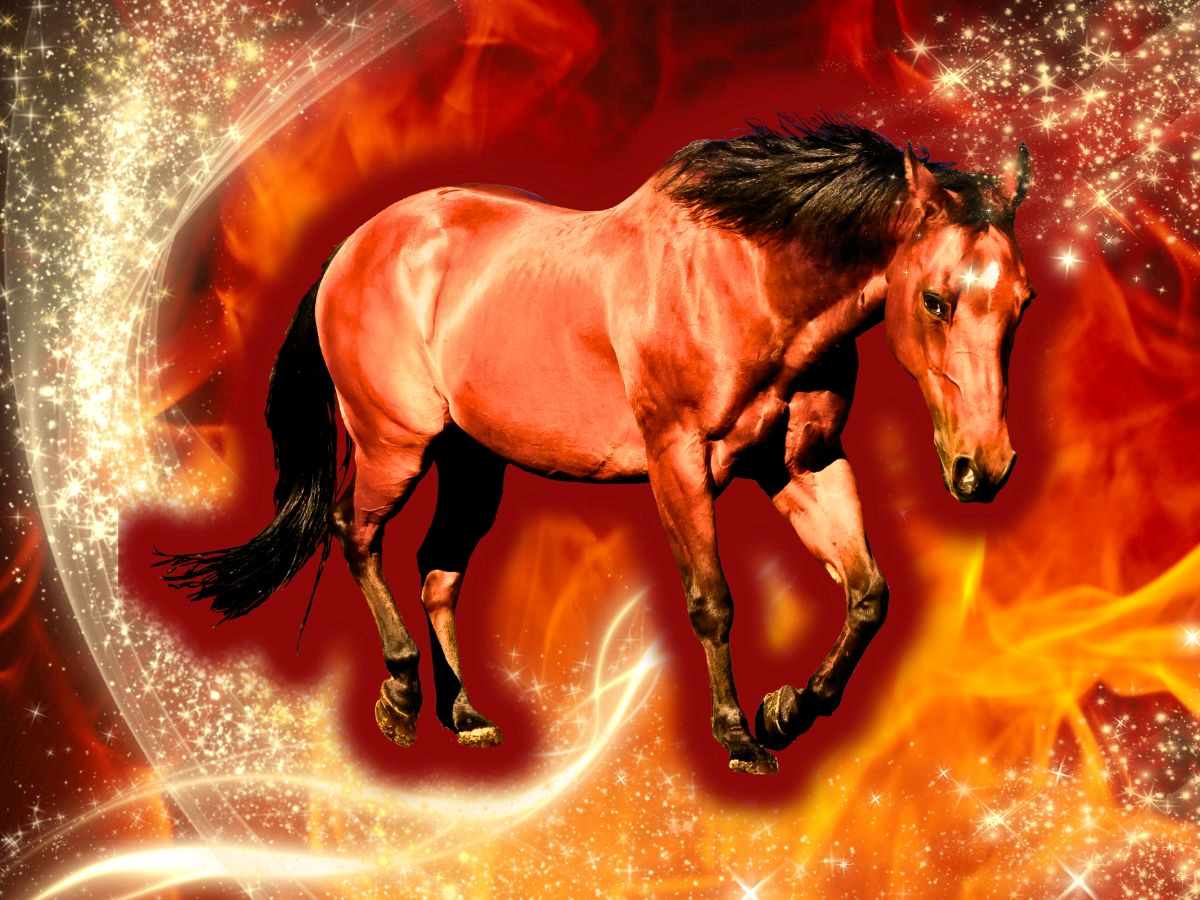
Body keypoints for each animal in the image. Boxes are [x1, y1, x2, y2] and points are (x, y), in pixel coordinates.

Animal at [160, 119, 1035, 775]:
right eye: (937, 299)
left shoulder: (804, 467)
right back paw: (401, 698)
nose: (983, 469)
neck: (749, 279)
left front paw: (787, 709)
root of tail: (352, 249)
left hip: (473, 463)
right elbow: (713, 601)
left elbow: (868, 595)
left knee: (438, 570)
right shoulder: (679, 461)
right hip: (392, 445)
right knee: (355, 534)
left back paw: (466, 714)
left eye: (1021, 301)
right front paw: (739, 736)